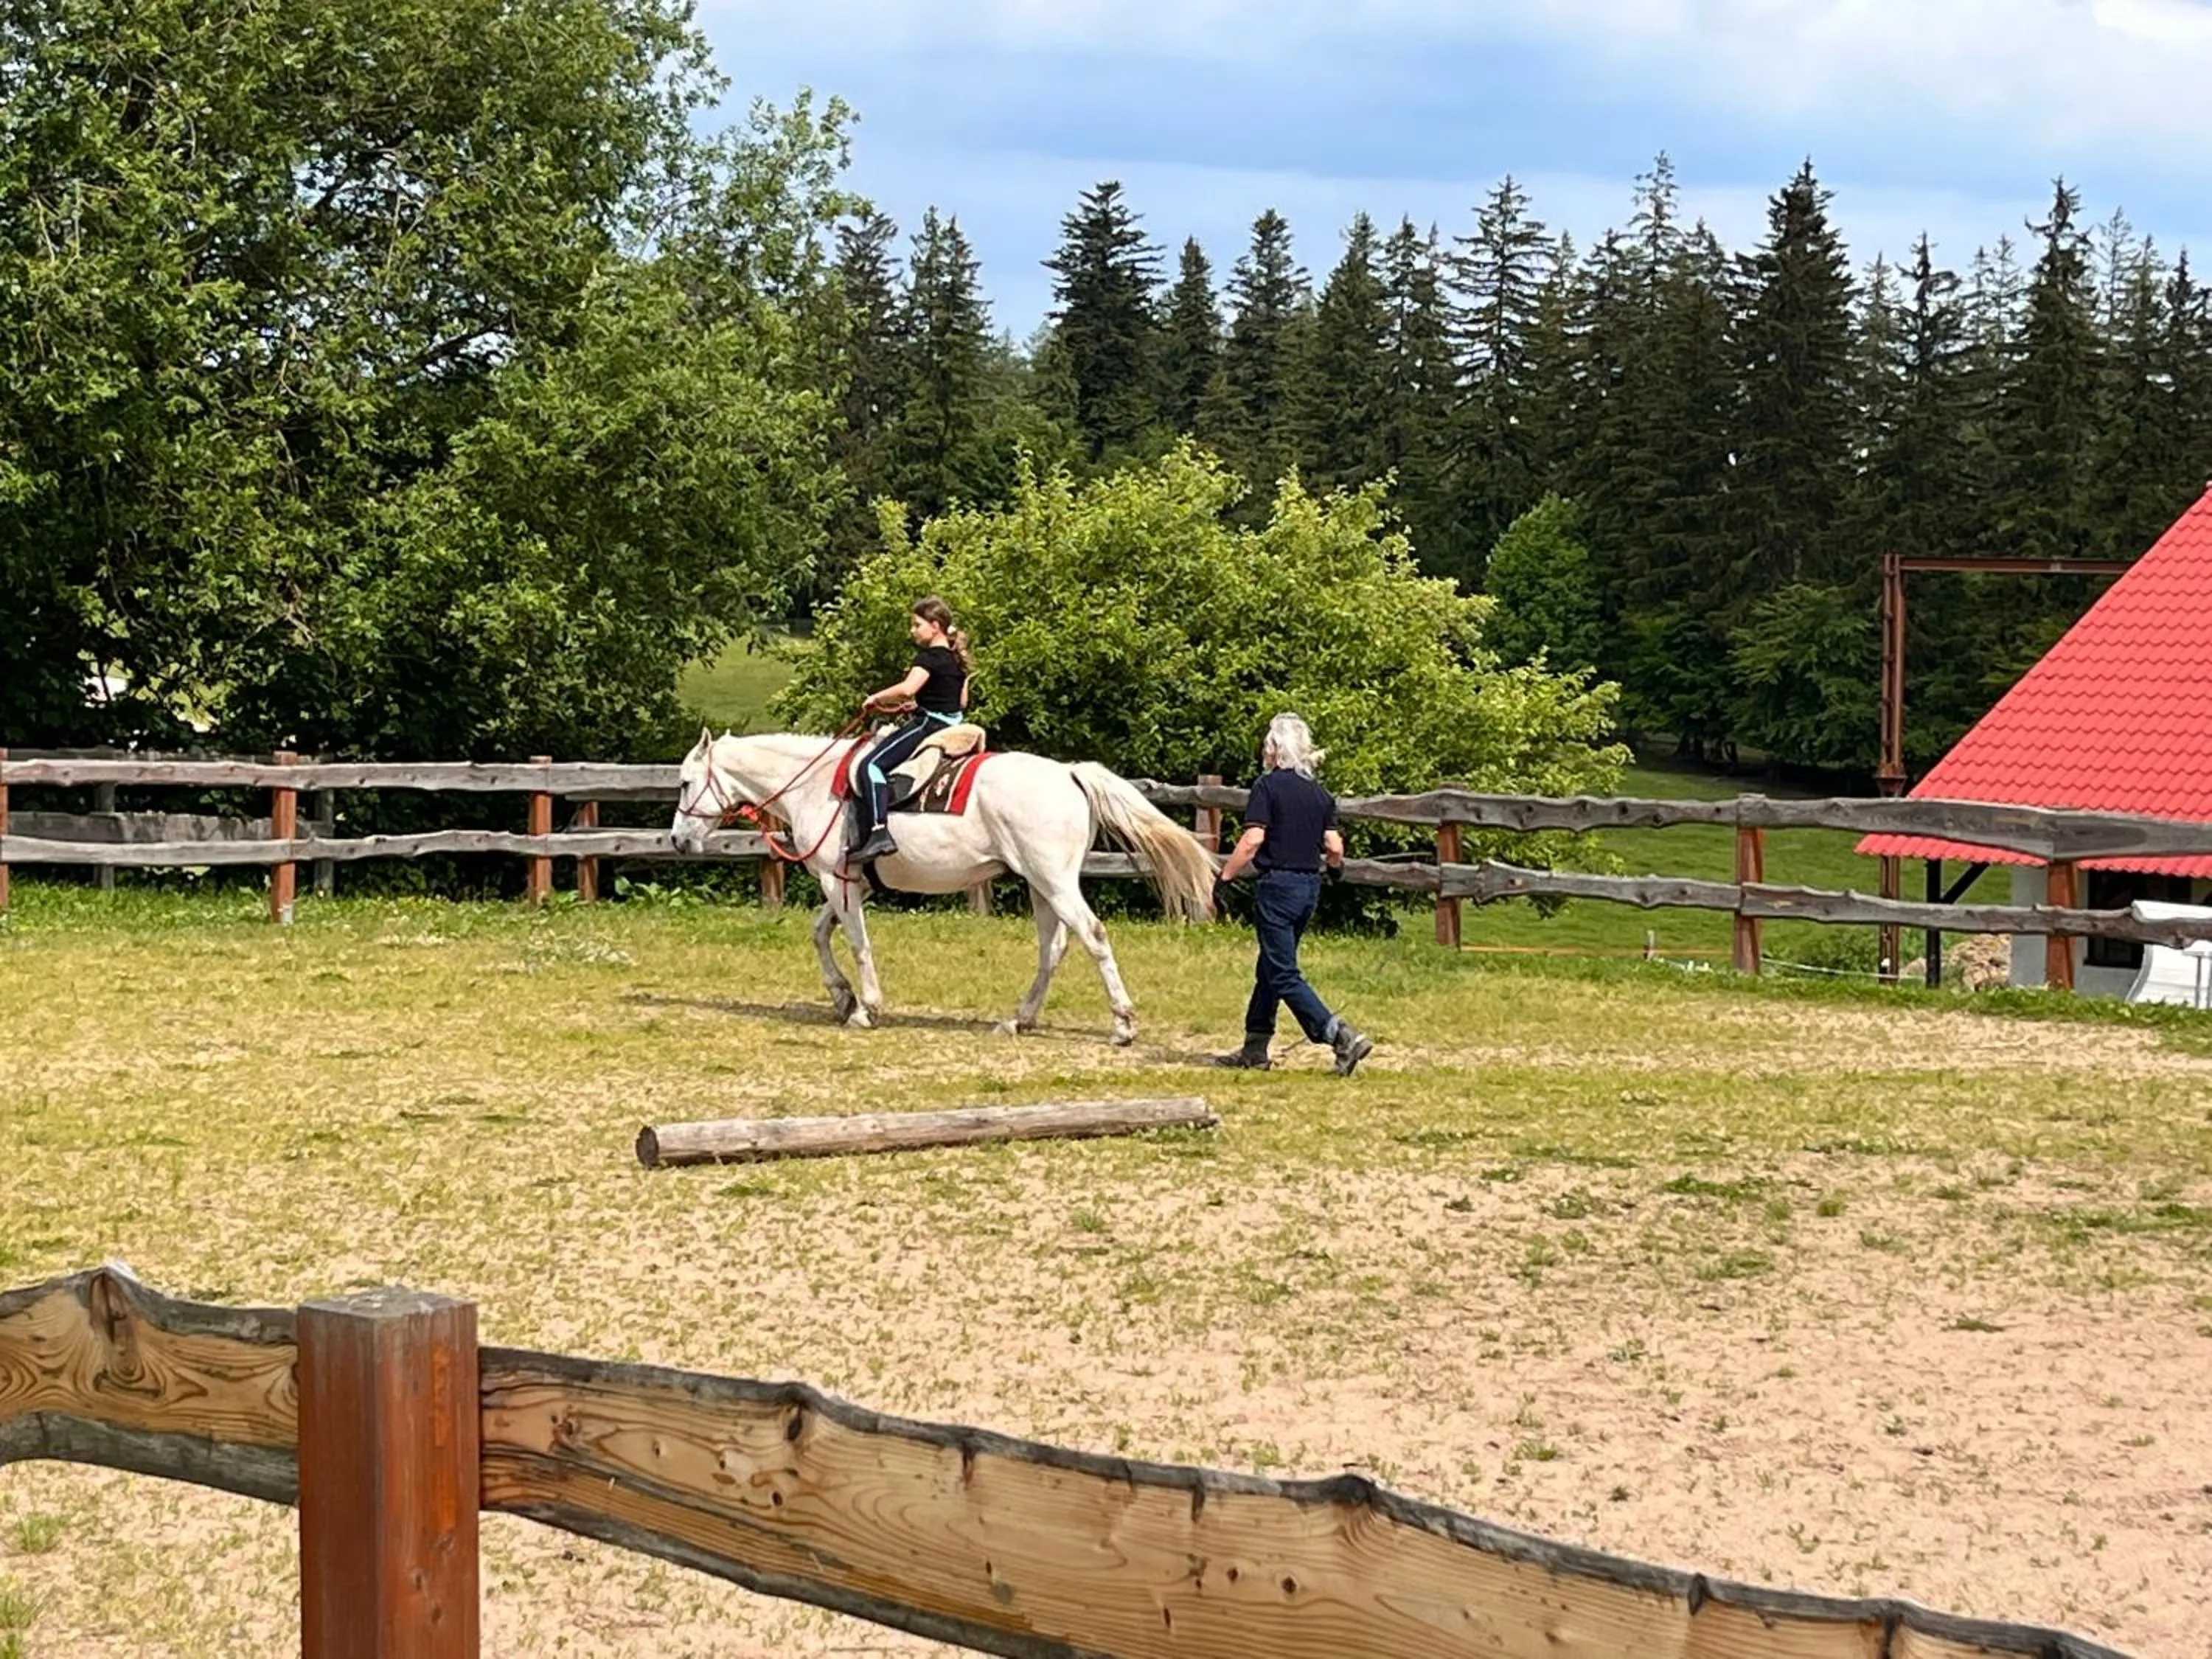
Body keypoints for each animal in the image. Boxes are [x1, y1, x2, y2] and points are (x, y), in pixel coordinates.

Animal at [668, 726, 1216, 1045]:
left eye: (685, 782)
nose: (676, 839)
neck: (816, 785)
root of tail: (1069, 774)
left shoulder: (836, 878)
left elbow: (856, 942)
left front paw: (866, 1007)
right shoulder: (852, 882)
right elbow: (820, 932)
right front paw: (842, 997)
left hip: (1054, 882)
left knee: (1093, 936)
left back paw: (1122, 1024)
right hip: (1041, 884)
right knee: (1054, 947)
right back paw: (1019, 1019)